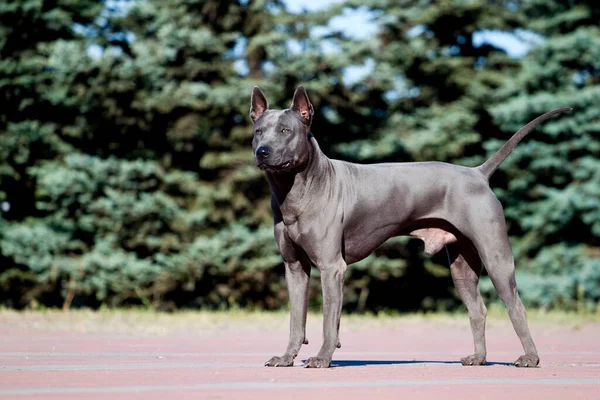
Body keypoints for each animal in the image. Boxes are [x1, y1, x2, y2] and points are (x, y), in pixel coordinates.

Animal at [251, 85, 568, 368]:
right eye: (258, 132)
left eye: (285, 131)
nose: (262, 151)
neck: (298, 190)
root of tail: (478, 173)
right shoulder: (294, 268)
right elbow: (296, 319)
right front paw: (286, 357)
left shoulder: (332, 268)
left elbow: (330, 320)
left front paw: (322, 358)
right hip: (462, 266)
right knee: (477, 309)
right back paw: (478, 358)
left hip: (496, 256)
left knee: (516, 306)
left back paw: (530, 358)